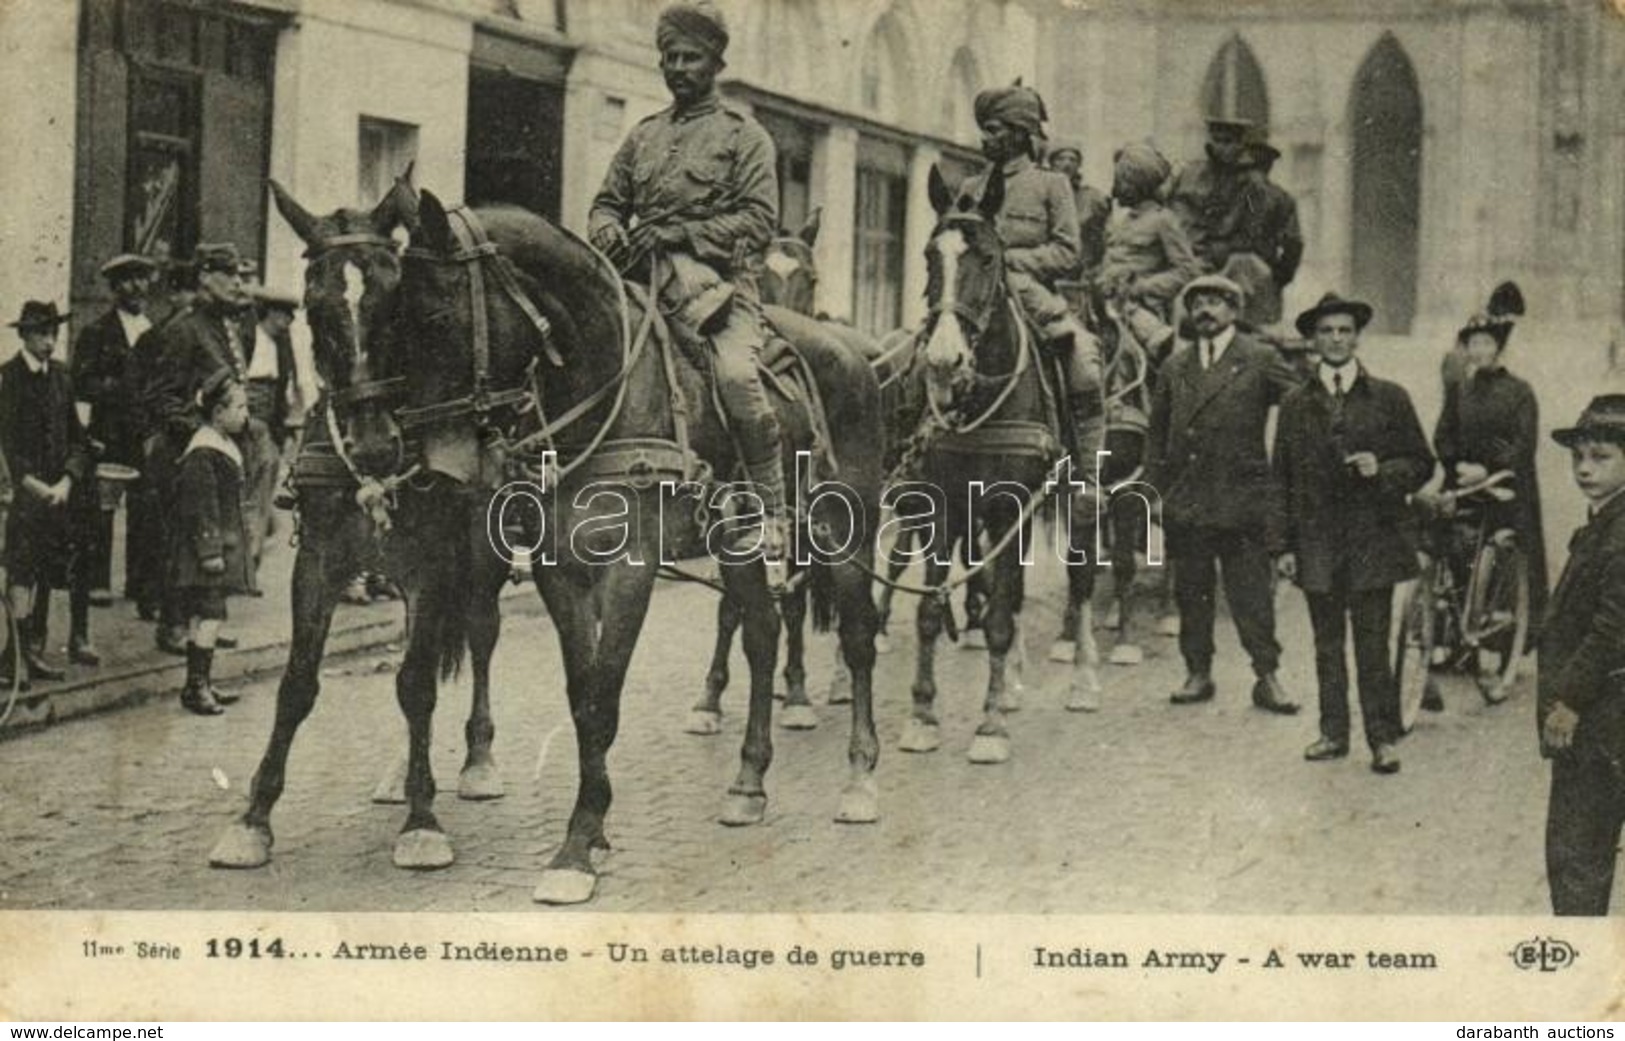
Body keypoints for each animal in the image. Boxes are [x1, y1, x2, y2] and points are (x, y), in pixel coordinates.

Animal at [206, 174, 513, 870]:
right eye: (316, 308)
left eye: (397, 304)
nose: (373, 446)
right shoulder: (319, 564)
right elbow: (298, 684)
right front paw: (253, 819)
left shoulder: (433, 565)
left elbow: (419, 684)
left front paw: (423, 821)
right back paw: (402, 770)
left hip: (482, 557)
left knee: (480, 634)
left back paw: (478, 759)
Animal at [370, 186, 890, 902]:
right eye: (391, 322)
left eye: (436, 316)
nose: (433, 470)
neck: (606, 383)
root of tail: (853, 354)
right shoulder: (561, 569)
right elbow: (581, 693)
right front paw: (593, 833)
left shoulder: (631, 568)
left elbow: (602, 697)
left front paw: (578, 845)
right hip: (740, 547)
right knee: (759, 636)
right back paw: (748, 784)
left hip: (846, 532)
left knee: (859, 639)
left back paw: (861, 780)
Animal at [897, 164, 1111, 763]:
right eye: (930, 256)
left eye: (989, 258)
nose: (944, 360)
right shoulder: (945, 507)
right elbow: (932, 611)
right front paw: (922, 716)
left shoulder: (1011, 508)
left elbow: (996, 618)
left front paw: (989, 726)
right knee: (1006, 593)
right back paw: (1013, 681)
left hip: (1077, 502)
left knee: (1080, 581)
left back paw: (1082, 680)